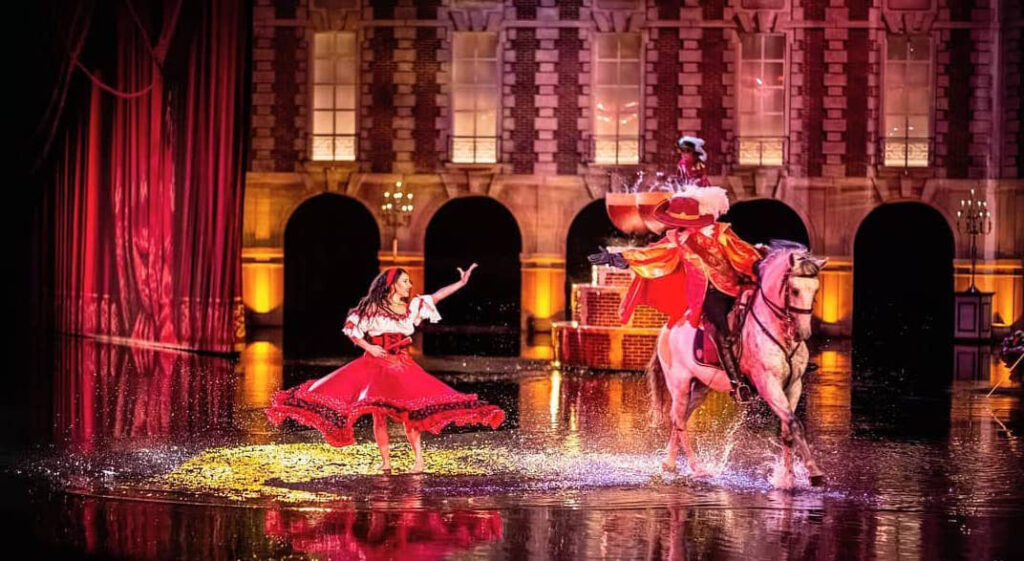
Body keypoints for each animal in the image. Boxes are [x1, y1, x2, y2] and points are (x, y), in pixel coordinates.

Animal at [647, 240, 831, 487]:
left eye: (816, 291)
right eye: (794, 290)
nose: (803, 333)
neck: (778, 331)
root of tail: (668, 328)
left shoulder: (793, 386)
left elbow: (787, 431)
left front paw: (787, 477)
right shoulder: (768, 384)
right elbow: (794, 425)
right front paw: (813, 471)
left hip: (701, 386)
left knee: (681, 418)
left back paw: (669, 463)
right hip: (680, 384)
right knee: (679, 421)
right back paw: (698, 469)